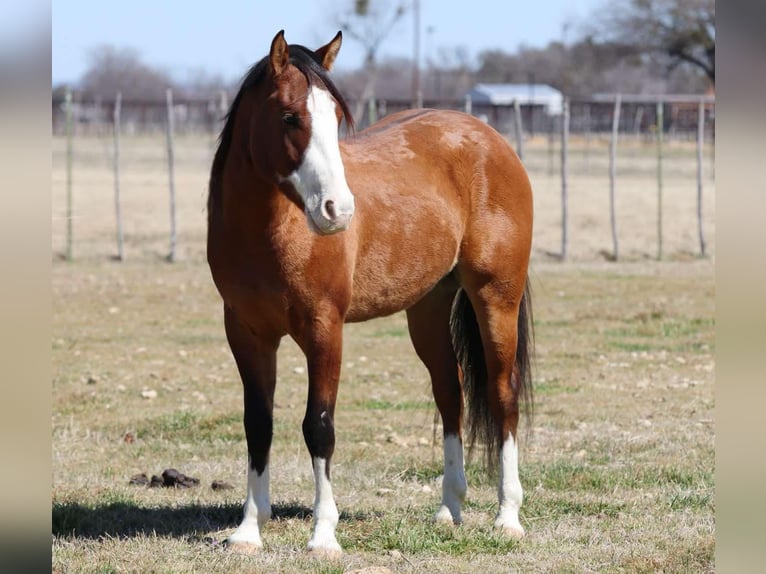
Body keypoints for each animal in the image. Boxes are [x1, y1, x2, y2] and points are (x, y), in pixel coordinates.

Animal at [207, 30, 534, 555]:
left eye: (336, 118)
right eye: (289, 116)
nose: (338, 210)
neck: (270, 233)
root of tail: (490, 140)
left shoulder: (325, 329)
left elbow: (319, 427)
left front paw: (324, 535)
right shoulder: (246, 333)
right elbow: (258, 425)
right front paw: (248, 531)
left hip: (496, 298)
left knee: (503, 395)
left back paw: (507, 517)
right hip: (427, 310)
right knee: (451, 393)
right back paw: (450, 509)